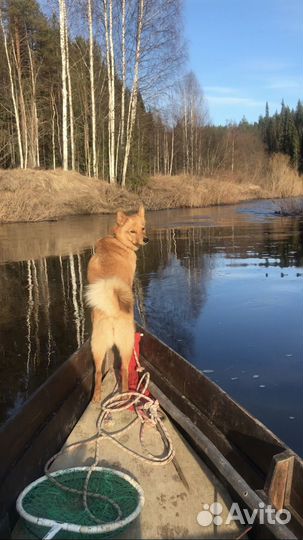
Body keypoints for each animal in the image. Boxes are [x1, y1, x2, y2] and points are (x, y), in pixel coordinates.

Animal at [85, 206, 148, 400]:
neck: (119, 241)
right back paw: (126, 394)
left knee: (98, 373)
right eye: (132, 231)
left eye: (143, 228)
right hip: (127, 346)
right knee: (125, 370)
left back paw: (97, 397)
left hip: (97, 348)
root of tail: (111, 312)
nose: (146, 239)